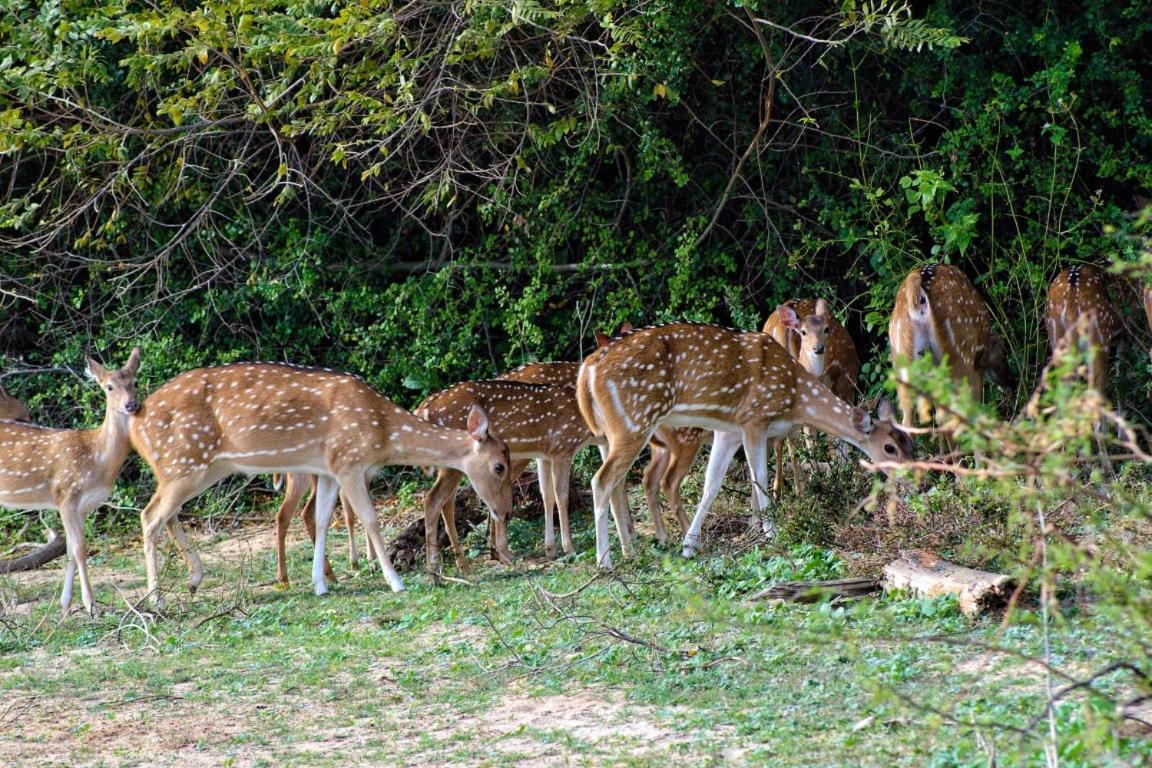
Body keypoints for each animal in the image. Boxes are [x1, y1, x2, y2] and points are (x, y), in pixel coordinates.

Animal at [0, 352, 141, 617]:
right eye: (109, 387)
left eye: (134, 382)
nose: (131, 405)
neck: (97, 458)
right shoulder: (66, 496)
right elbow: (79, 549)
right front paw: (91, 605)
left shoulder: (83, 507)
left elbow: (69, 551)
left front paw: (65, 605)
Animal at [128, 363, 511, 603]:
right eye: (499, 466)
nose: (505, 511)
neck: (384, 433)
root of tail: (135, 422)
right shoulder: (349, 461)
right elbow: (370, 519)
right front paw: (395, 582)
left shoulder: (327, 471)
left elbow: (324, 520)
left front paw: (320, 585)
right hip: (184, 463)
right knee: (149, 516)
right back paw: (156, 599)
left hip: (196, 468)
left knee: (165, 514)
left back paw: (192, 581)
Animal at [573, 322, 907, 568]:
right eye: (890, 448)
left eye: (911, 443)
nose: (913, 477)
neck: (795, 397)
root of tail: (587, 369)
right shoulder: (754, 419)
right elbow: (759, 479)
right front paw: (772, 533)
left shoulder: (728, 430)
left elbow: (712, 484)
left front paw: (690, 545)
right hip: (634, 421)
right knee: (602, 481)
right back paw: (605, 561)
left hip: (613, 431)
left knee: (620, 482)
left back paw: (630, 550)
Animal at [760, 299, 861, 499]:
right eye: (804, 332)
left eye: (826, 329)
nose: (819, 348)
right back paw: (804, 488)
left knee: (781, 440)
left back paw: (780, 490)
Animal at [884, 264, 1013, 437]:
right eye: (1003, 350)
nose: (1011, 382)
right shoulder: (975, 367)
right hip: (957, 356)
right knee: (950, 415)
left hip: (902, 361)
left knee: (908, 421)